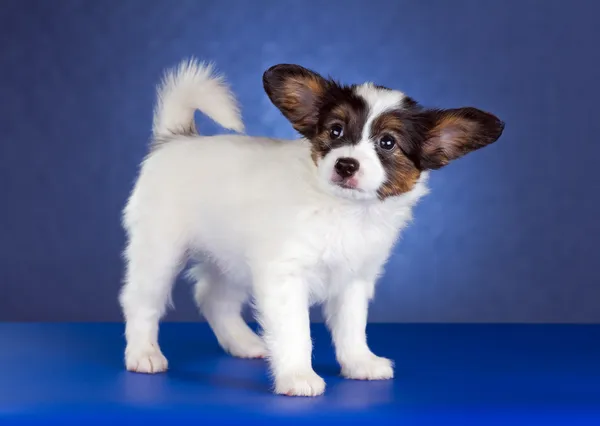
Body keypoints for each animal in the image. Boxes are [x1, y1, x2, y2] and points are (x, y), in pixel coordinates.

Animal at [119, 57, 504, 396]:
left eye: (387, 143)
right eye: (335, 131)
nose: (346, 164)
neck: (344, 211)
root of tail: (176, 139)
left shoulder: (353, 280)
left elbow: (352, 327)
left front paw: (360, 363)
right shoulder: (285, 277)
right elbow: (296, 333)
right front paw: (297, 376)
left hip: (232, 258)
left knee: (213, 298)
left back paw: (243, 343)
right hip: (160, 249)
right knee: (141, 301)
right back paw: (143, 354)